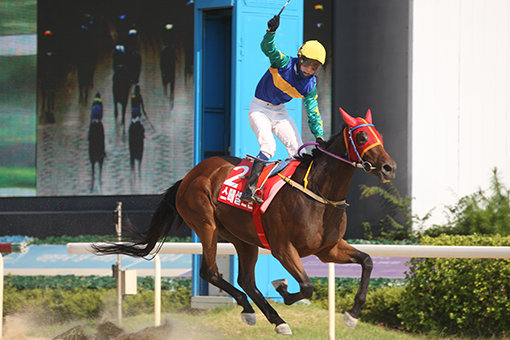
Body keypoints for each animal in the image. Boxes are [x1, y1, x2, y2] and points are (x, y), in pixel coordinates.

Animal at [96, 108, 398, 334]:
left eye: (380, 135)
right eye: (361, 136)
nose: (389, 167)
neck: (318, 193)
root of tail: (191, 175)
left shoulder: (328, 249)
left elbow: (368, 262)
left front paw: (352, 315)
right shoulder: (283, 248)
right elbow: (307, 286)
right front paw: (283, 288)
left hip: (243, 239)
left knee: (246, 280)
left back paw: (272, 318)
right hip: (206, 225)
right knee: (211, 273)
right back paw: (259, 311)